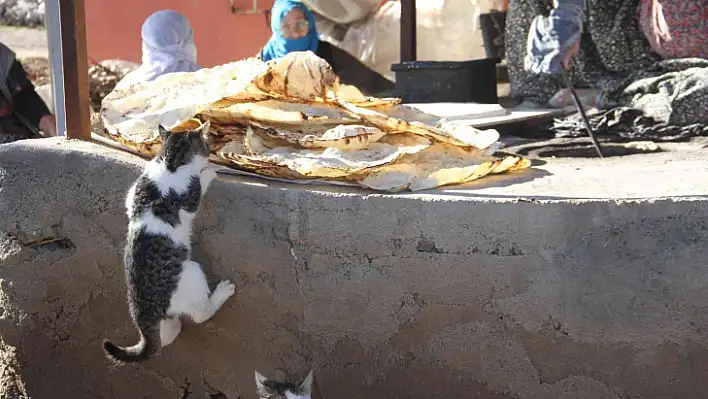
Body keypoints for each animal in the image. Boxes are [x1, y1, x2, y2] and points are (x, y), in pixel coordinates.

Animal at [101, 120, 235, 364]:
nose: (211, 152)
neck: (170, 162)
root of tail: (144, 313)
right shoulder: (190, 196)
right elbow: (200, 181)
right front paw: (210, 170)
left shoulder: (132, 195)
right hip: (192, 273)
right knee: (201, 315)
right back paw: (222, 292)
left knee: (164, 337)